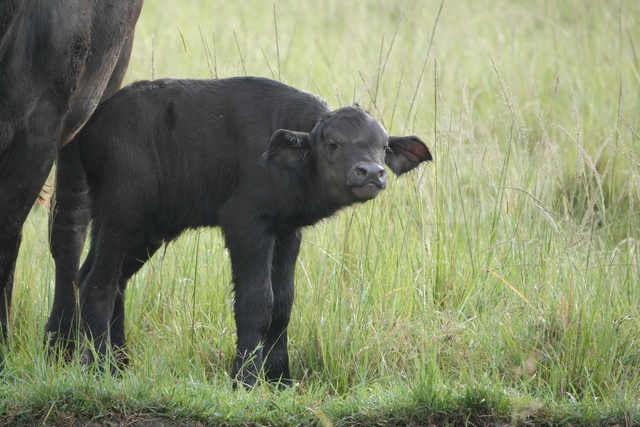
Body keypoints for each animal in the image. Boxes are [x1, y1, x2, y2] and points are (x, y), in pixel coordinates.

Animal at [75, 76, 432, 386]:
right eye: (333, 144)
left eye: (383, 147)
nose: (371, 172)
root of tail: (91, 129)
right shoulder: (245, 224)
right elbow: (256, 300)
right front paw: (245, 378)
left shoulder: (287, 231)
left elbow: (283, 302)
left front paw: (279, 377)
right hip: (120, 213)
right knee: (97, 283)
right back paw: (101, 368)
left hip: (148, 228)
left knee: (109, 280)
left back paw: (119, 361)